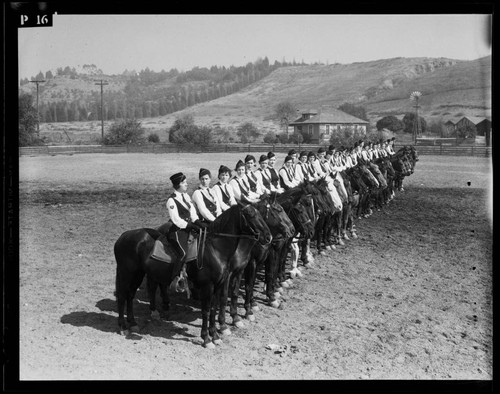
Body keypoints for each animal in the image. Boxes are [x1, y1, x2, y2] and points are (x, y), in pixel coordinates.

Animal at [114, 203, 272, 348]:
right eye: (251, 214)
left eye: (261, 214)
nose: (268, 237)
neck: (215, 249)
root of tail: (122, 237)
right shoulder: (208, 286)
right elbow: (206, 310)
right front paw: (207, 338)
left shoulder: (219, 283)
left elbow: (214, 308)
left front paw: (215, 336)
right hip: (126, 273)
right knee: (122, 296)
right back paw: (123, 326)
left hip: (138, 274)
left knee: (130, 295)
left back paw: (133, 323)